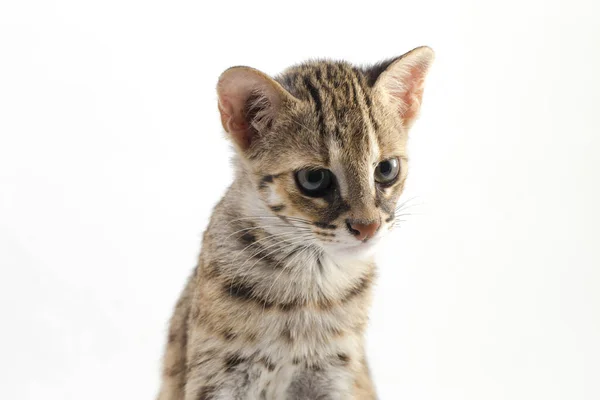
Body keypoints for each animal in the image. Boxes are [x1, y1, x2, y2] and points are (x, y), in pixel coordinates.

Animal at [157, 45, 434, 398]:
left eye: (386, 169)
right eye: (314, 178)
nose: (368, 227)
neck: (308, 288)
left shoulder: (336, 373)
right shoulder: (218, 376)